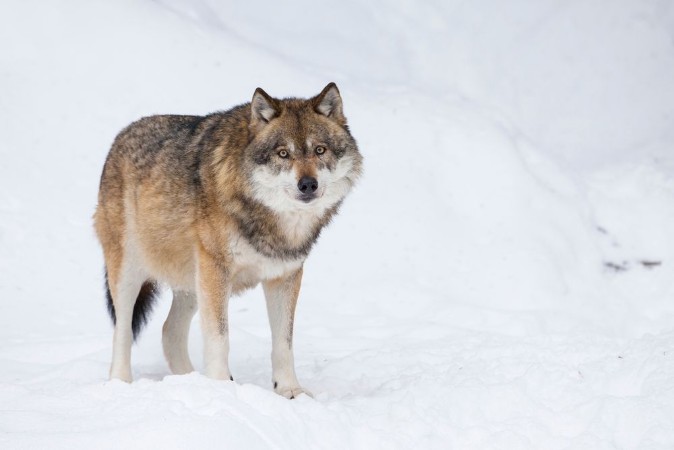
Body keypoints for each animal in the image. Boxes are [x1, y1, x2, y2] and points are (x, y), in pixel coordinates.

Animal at [94, 83, 362, 398]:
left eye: (320, 150)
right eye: (283, 153)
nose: (308, 184)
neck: (270, 219)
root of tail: (120, 137)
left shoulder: (284, 276)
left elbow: (283, 342)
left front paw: (289, 389)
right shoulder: (216, 270)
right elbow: (219, 337)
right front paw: (221, 387)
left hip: (192, 284)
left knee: (169, 331)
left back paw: (190, 381)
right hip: (131, 274)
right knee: (122, 331)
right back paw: (121, 383)